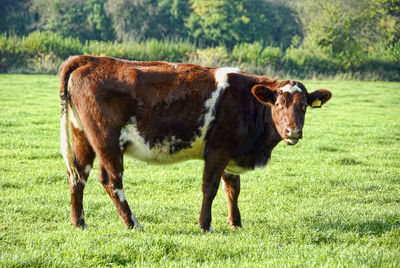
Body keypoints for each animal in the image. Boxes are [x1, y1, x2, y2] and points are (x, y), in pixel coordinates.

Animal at [58, 55, 332, 231]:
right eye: (278, 104)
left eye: (304, 105)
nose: (293, 131)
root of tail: (91, 59)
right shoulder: (218, 150)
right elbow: (210, 188)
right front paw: (205, 224)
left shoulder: (231, 152)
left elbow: (233, 188)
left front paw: (236, 223)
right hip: (107, 140)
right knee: (111, 180)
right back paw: (133, 224)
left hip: (82, 135)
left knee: (78, 174)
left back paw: (78, 222)